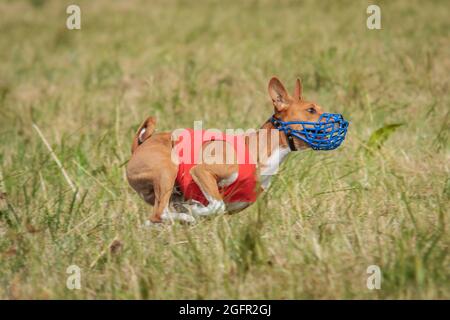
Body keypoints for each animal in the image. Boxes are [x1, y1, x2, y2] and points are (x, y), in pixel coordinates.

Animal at [126, 76, 348, 224]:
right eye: (311, 110)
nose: (342, 121)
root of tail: (140, 145)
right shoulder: (202, 171)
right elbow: (215, 205)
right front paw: (194, 211)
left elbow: (216, 209)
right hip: (167, 170)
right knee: (158, 214)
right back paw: (185, 216)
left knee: (155, 218)